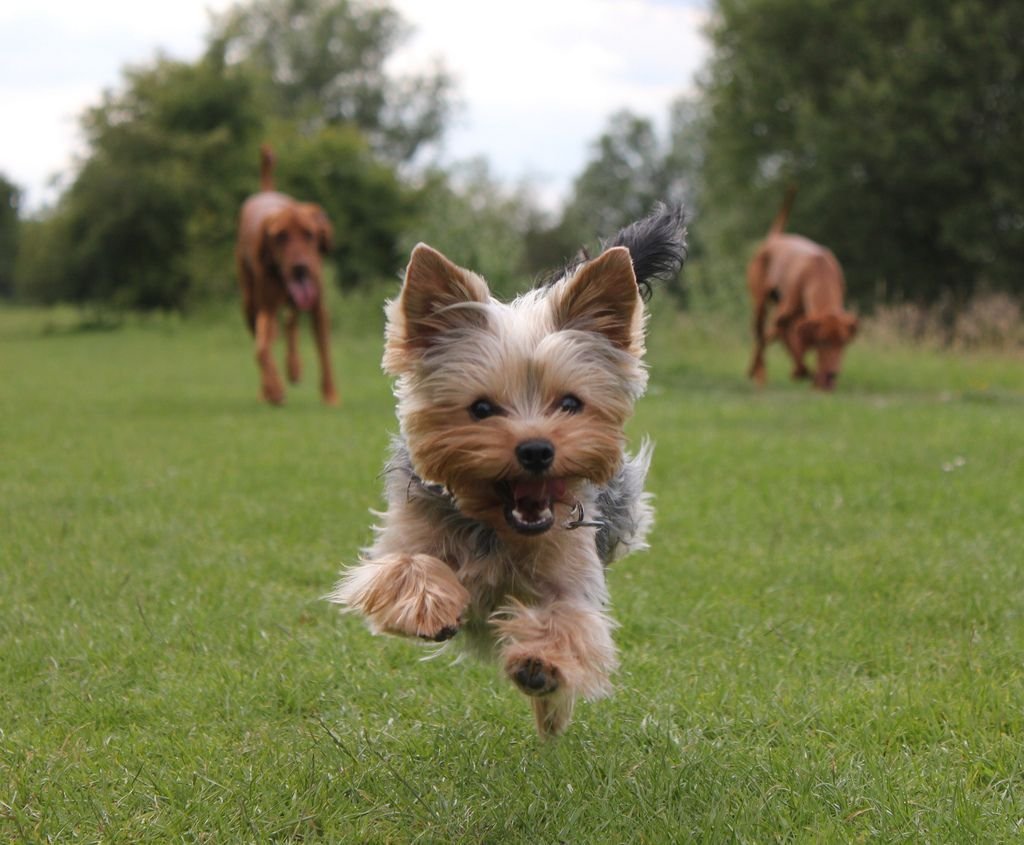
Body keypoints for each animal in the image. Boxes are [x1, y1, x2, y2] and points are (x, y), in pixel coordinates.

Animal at [236, 145, 339, 405]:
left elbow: (324, 351)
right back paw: (269, 388)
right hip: (249, 301)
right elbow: (261, 349)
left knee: (292, 322)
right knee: (275, 329)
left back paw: (294, 368)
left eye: (309, 234)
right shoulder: (265, 308)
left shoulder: (318, 306)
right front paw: (274, 390)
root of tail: (267, 192)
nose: (300, 267)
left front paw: (330, 395)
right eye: (280, 236)